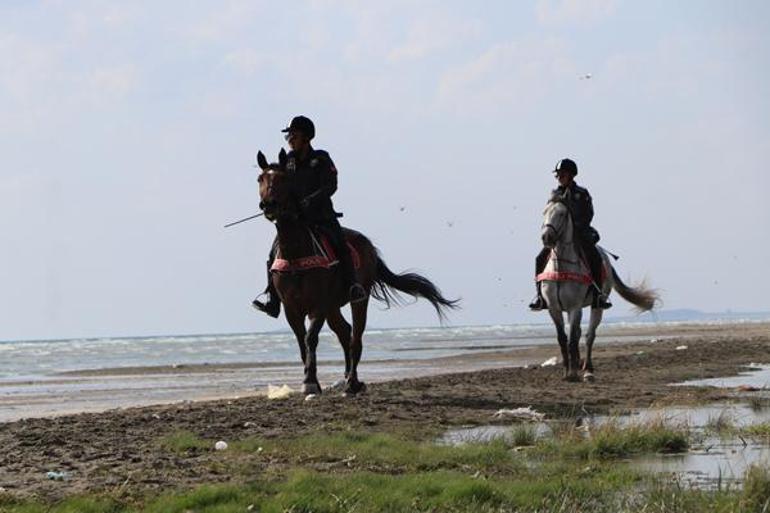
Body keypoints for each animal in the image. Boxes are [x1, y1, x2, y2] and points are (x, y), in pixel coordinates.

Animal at [255, 148, 460, 396]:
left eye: (283, 179)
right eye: (260, 179)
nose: (268, 205)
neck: (296, 252)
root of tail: (368, 246)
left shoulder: (318, 305)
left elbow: (310, 338)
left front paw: (311, 382)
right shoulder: (291, 308)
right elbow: (301, 341)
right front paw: (309, 379)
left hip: (357, 300)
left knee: (356, 337)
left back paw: (352, 382)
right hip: (333, 307)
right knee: (345, 332)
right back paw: (346, 378)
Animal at [536, 199, 656, 380]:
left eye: (562, 214)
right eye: (544, 212)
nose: (547, 237)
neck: (561, 267)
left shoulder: (575, 307)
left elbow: (572, 340)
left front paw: (572, 373)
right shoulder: (554, 308)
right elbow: (563, 339)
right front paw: (566, 371)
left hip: (598, 305)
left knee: (589, 336)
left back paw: (588, 370)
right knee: (579, 334)